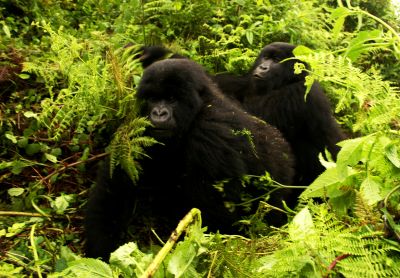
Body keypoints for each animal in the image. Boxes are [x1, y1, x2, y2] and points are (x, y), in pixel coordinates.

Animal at [84, 59, 296, 260]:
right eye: (153, 99)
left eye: (171, 99)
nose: (158, 113)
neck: (199, 108)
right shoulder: (138, 129)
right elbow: (115, 188)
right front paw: (103, 251)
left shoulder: (211, 134)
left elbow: (217, 217)